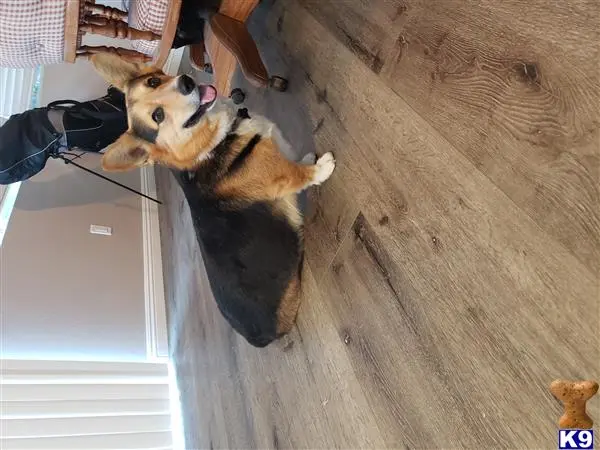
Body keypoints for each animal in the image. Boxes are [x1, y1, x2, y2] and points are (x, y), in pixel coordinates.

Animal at [91, 54, 335, 347]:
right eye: (158, 116)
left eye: (154, 81)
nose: (186, 81)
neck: (208, 144)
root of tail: (258, 339)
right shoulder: (282, 176)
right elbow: (301, 173)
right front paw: (322, 167)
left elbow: (293, 158)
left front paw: (307, 158)